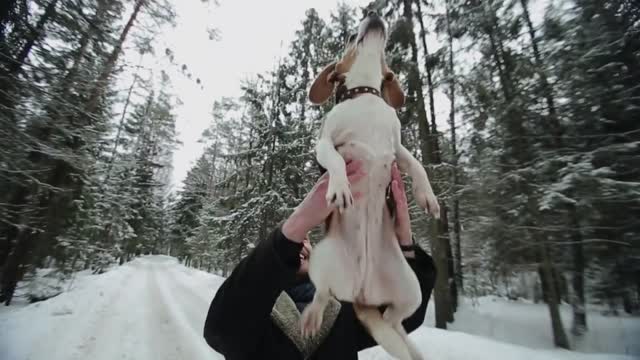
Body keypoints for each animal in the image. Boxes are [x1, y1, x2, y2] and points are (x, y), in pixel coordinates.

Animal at [302, 11, 440, 360]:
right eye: (352, 36)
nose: (374, 14)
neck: (365, 93)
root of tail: (362, 293)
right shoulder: (324, 143)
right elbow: (336, 162)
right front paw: (340, 188)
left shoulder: (399, 149)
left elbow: (417, 166)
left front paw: (428, 197)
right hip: (321, 260)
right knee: (323, 294)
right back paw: (312, 316)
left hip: (411, 289)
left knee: (393, 318)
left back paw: (399, 334)